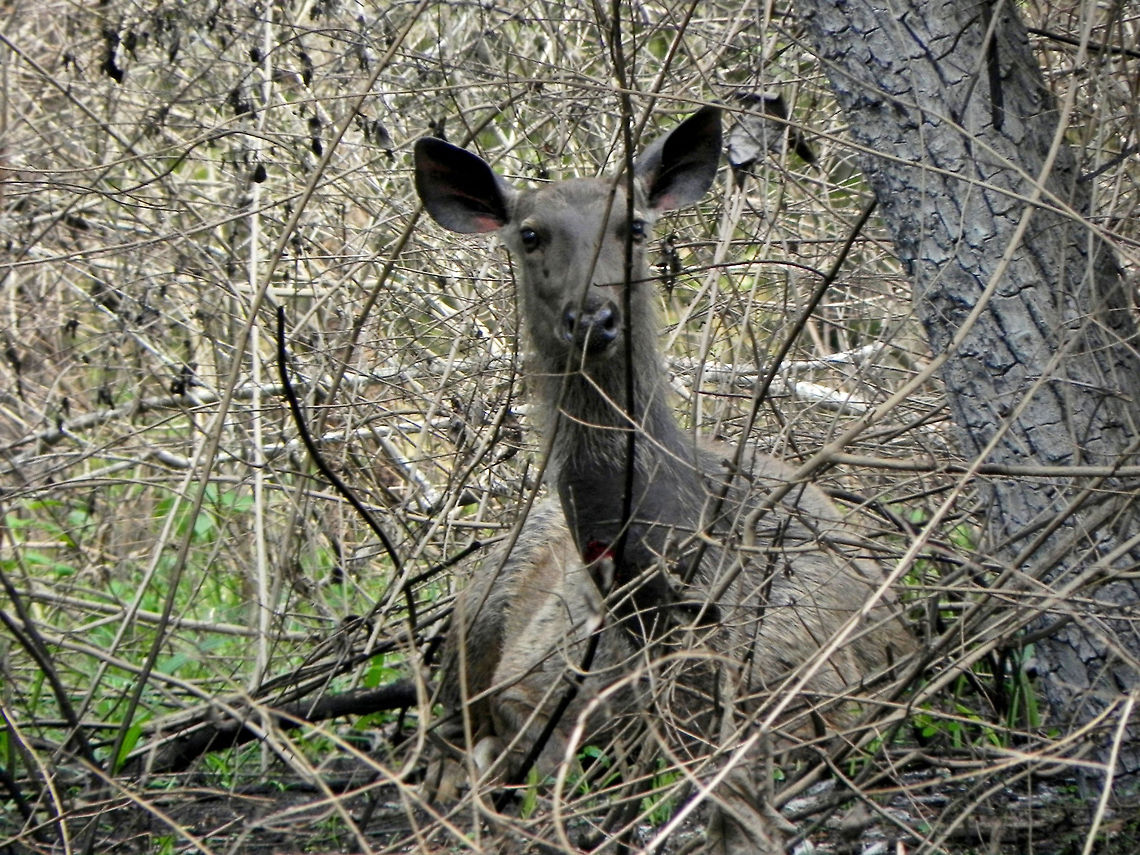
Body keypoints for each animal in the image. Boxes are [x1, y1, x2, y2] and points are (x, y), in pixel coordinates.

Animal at [414, 105, 913, 845]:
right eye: (530, 233)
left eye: (636, 226)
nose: (593, 316)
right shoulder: (532, 690)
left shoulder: (800, 702)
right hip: (477, 608)